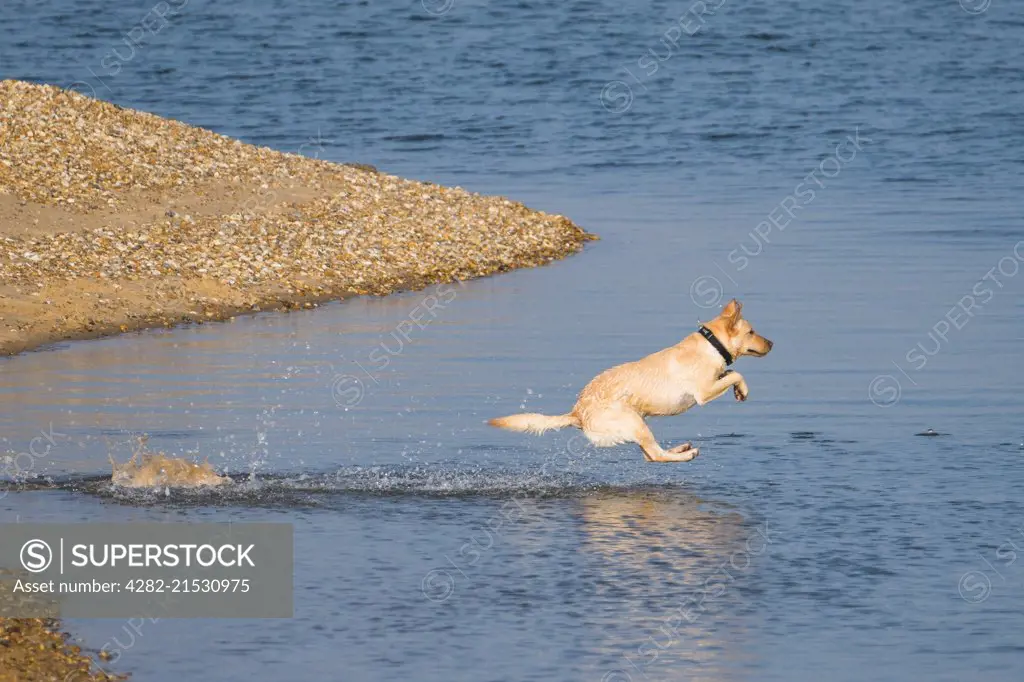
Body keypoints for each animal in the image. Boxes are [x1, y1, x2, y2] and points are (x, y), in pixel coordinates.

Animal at [491, 299, 770, 462]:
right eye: (752, 332)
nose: (772, 343)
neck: (711, 344)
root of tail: (577, 413)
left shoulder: (715, 380)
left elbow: (730, 373)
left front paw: (739, 390)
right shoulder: (704, 392)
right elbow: (736, 373)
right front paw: (743, 390)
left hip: (637, 424)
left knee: (649, 455)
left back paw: (680, 449)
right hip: (635, 423)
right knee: (655, 455)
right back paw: (687, 454)